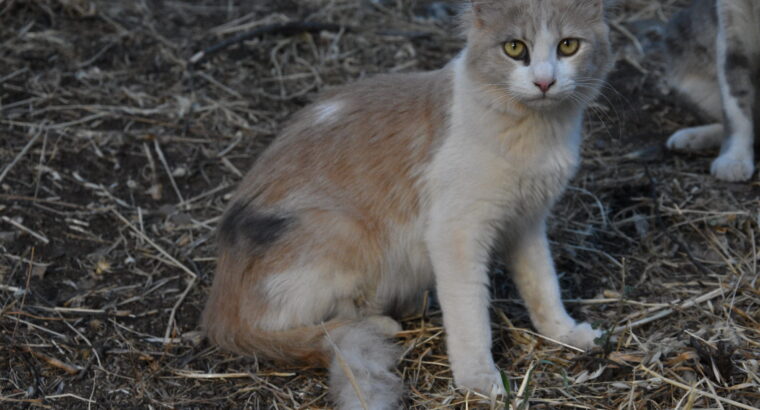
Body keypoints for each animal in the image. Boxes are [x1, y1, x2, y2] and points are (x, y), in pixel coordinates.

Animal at [200, 1, 612, 408]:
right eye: (514, 48)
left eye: (568, 46)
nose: (544, 82)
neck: (538, 135)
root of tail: (217, 310)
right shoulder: (455, 233)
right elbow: (470, 316)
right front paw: (479, 379)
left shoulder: (527, 222)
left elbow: (543, 285)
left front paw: (565, 332)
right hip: (344, 234)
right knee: (285, 325)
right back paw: (378, 324)